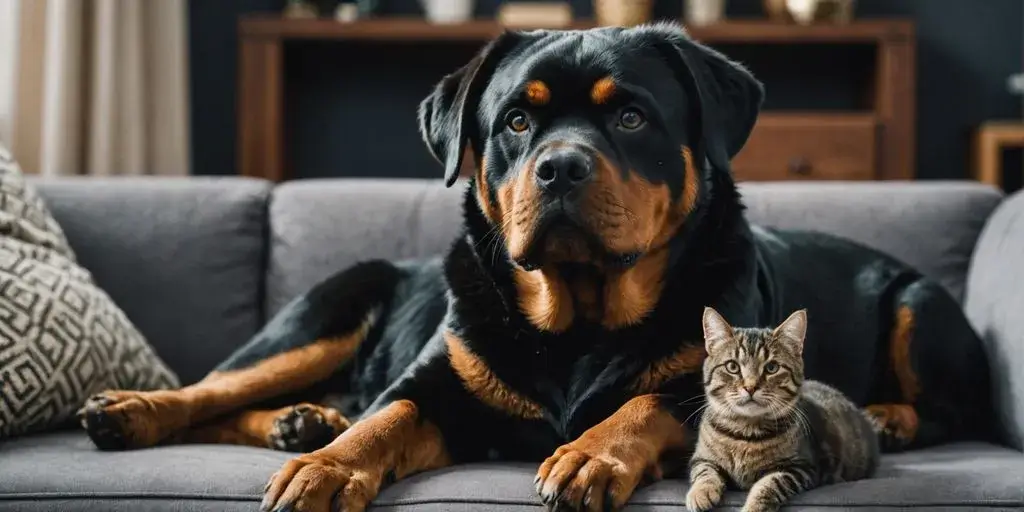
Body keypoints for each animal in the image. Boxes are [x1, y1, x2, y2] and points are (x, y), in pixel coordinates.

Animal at [684, 307, 876, 512]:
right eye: (732, 366)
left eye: (772, 367)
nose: (750, 387)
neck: (745, 433)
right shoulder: (701, 458)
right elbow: (705, 472)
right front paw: (700, 493)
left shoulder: (801, 468)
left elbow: (769, 484)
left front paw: (753, 507)